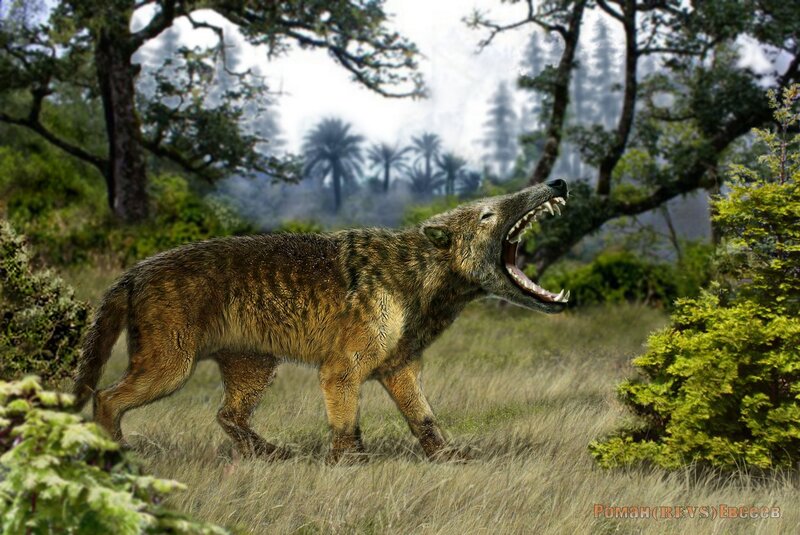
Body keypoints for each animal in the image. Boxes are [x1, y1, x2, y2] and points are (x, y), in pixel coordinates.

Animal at [73, 179, 570, 462]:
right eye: (488, 212)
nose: (559, 180)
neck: (415, 277)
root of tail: (133, 272)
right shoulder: (341, 371)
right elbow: (347, 427)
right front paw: (352, 466)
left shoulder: (401, 370)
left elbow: (425, 420)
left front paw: (449, 457)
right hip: (172, 370)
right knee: (105, 398)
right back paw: (117, 456)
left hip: (255, 369)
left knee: (225, 415)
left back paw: (272, 454)